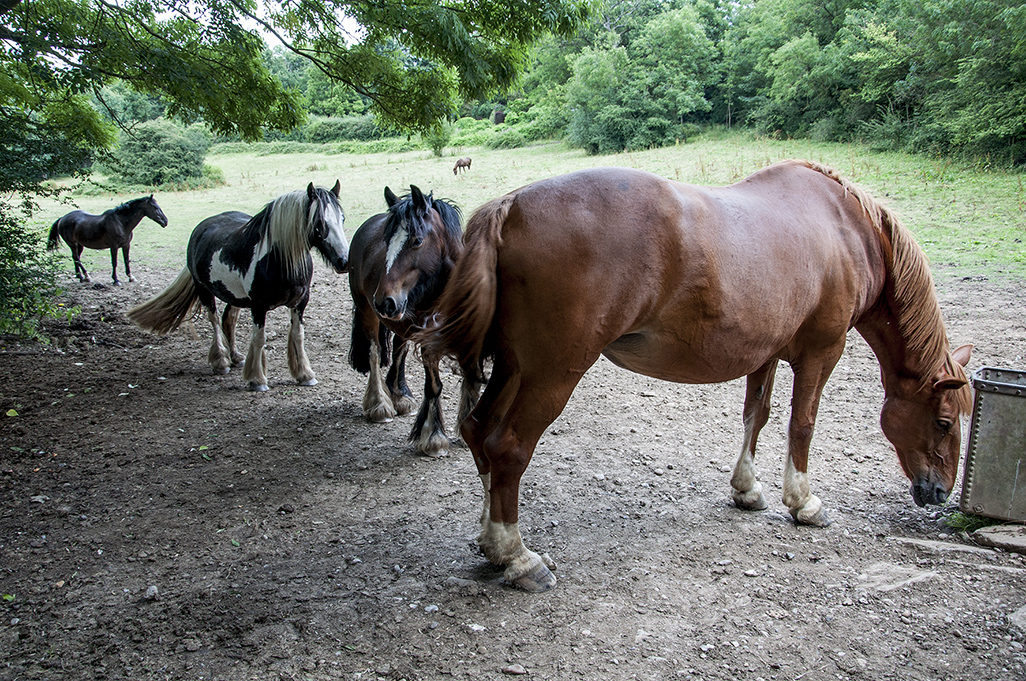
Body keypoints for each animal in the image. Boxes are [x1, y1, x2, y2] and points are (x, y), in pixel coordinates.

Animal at [124, 183, 346, 391]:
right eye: (319, 222)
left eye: (342, 219)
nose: (343, 261)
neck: (280, 261)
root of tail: (201, 228)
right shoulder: (258, 306)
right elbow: (259, 338)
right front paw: (257, 379)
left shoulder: (300, 303)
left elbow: (298, 336)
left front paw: (305, 375)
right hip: (205, 290)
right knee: (214, 320)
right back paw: (221, 361)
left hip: (235, 297)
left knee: (228, 320)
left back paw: (236, 357)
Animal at [344, 183, 471, 455]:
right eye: (386, 242)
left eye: (417, 240)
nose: (384, 301)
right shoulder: (429, 343)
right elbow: (434, 386)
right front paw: (433, 437)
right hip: (368, 312)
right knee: (373, 352)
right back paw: (379, 405)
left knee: (399, 349)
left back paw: (399, 394)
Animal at [418, 161, 976, 590]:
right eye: (945, 422)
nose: (939, 492)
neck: (846, 229)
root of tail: (510, 206)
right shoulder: (822, 352)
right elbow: (802, 424)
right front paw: (803, 503)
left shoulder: (765, 354)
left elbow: (757, 416)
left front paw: (747, 490)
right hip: (551, 373)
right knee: (508, 446)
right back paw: (518, 556)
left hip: (515, 367)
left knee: (479, 432)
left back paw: (491, 541)